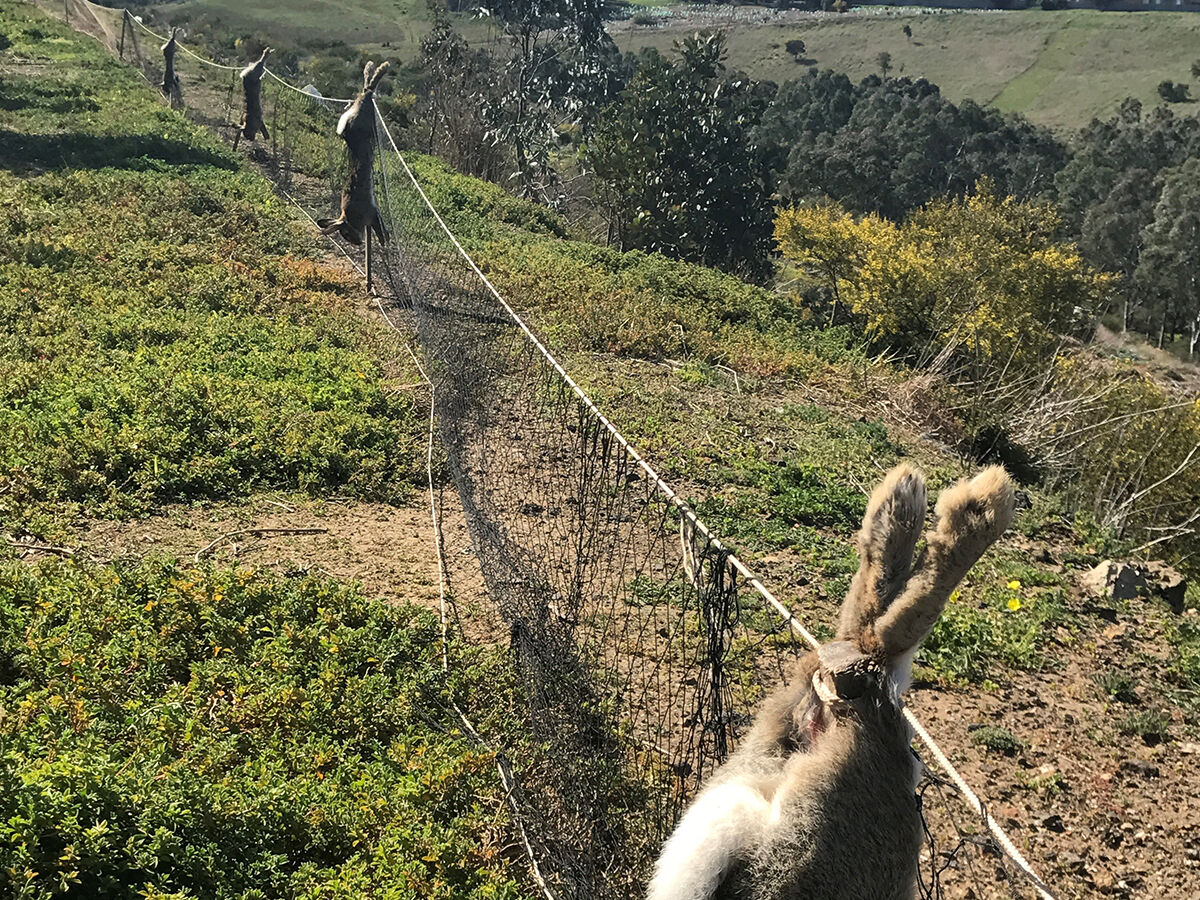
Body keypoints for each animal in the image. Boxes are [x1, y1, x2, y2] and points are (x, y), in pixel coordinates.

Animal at [319, 60, 388, 247]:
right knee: (368, 88)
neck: (349, 217)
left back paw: (380, 69)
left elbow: (379, 227)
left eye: (346, 234)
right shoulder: (374, 213)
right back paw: (376, 69)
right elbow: (379, 225)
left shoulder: (371, 213)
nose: (357, 243)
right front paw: (385, 240)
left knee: (368, 89)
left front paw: (384, 240)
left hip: (366, 121)